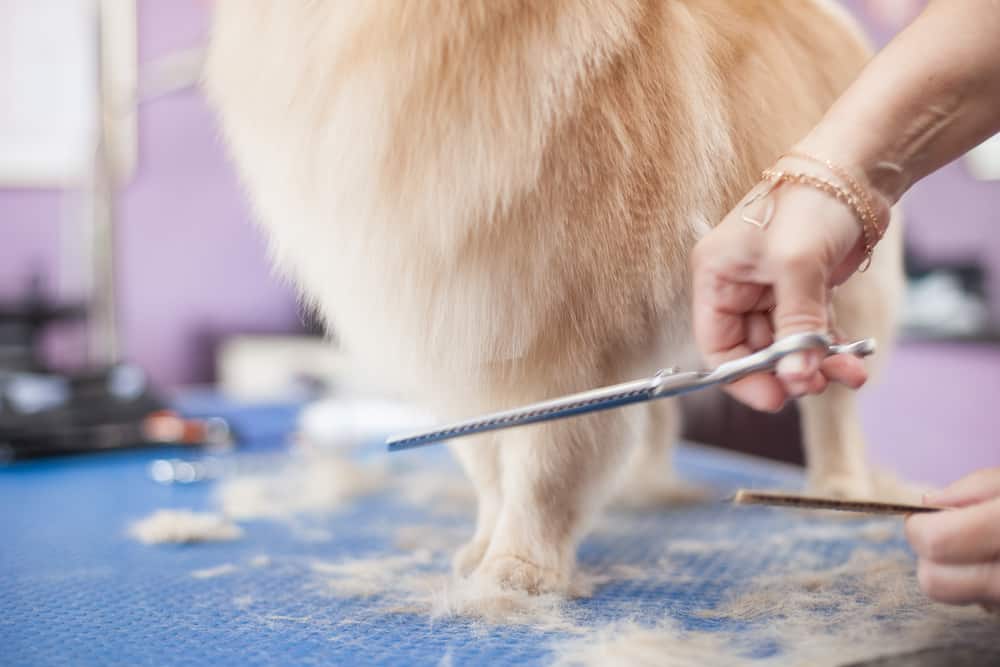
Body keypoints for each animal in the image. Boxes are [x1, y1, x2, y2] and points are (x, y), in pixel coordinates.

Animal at [205, 1, 908, 596]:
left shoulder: (564, 346)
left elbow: (542, 468)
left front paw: (517, 570)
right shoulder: (465, 344)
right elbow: (487, 465)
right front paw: (481, 548)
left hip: (830, 284)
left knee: (833, 407)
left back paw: (838, 487)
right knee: (658, 414)